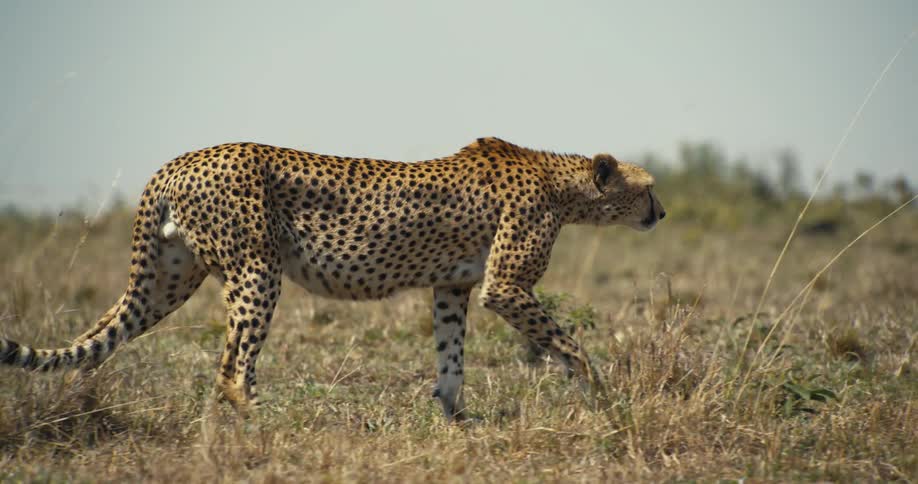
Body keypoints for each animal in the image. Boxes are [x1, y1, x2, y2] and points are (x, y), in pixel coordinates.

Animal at [0, 137, 665, 421]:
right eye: (650, 186)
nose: (661, 213)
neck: (562, 181)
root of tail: (179, 159)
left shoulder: (452, 286)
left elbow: (452, 355)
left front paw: (455, 417)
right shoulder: (503, 285)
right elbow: (568, 342)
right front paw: (599, 394)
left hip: (168, 280)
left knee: (97, 335)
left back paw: (80, 404)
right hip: (256, 270)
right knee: (231, 367)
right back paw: (267, 420)